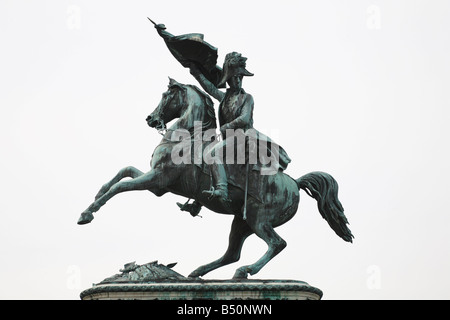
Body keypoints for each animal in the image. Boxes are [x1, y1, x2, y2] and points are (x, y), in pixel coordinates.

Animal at [77, 78, 354, 280]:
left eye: (166, 95)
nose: (150, 119)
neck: (185, 137)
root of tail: (294, 183)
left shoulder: (156, 180)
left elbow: (121, 185)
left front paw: (88, 213)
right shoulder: (158, 184)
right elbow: (122, 173)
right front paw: (93, 200)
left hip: (259, 219)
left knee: (277, 244)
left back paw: (245, 271)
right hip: (241, 222)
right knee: (232, 254)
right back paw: (199, 272)